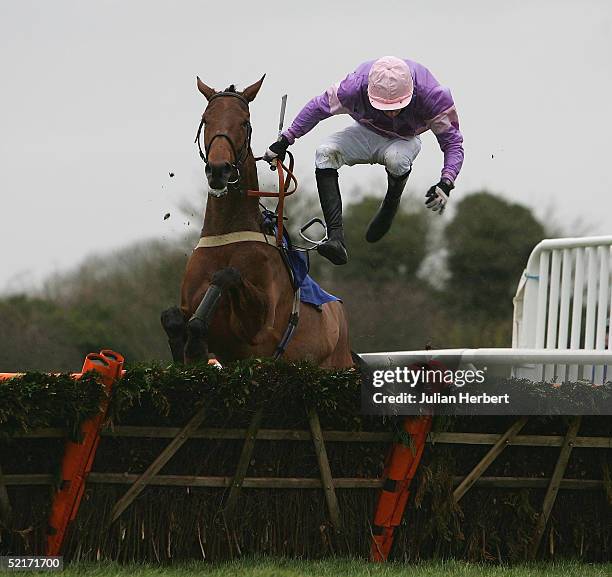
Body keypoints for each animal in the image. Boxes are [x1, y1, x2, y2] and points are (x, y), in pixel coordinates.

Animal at [161, 75, 354, 368]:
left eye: (244, 121)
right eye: (206, 119)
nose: (218, 170)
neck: (227, 233)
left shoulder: (258, 330)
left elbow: (227, 275)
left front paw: (196, 336)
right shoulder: (187, 308)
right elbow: (171, 318)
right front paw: (190, 342)